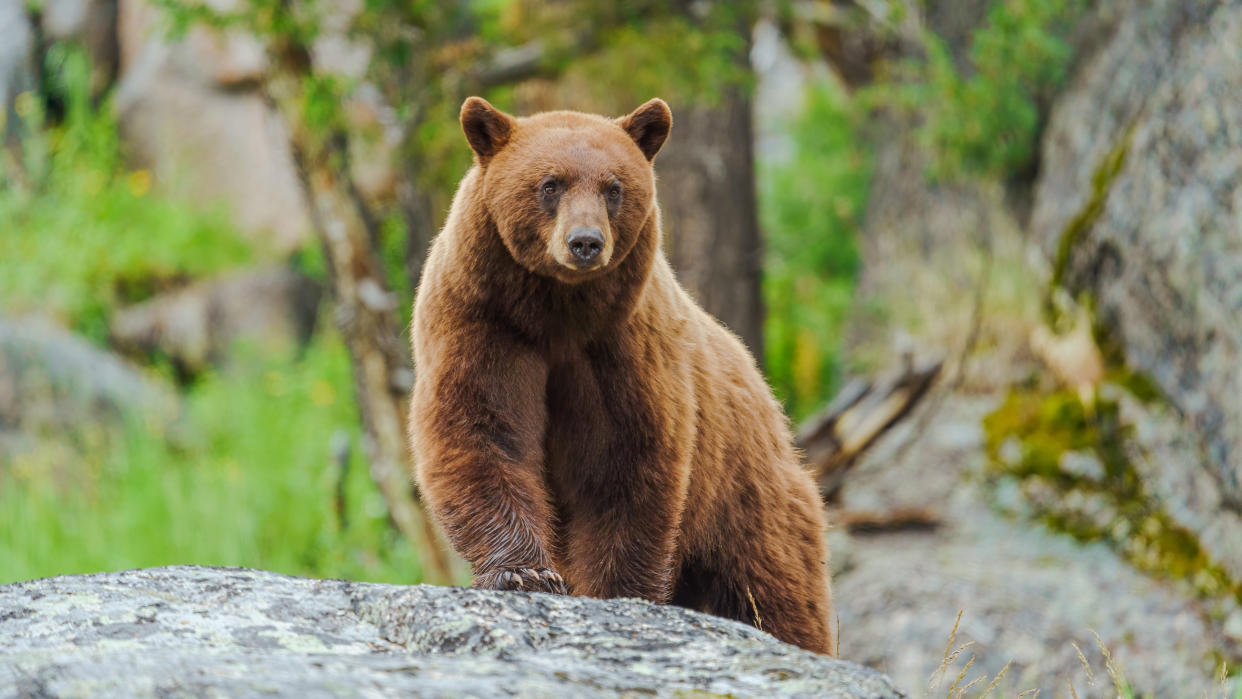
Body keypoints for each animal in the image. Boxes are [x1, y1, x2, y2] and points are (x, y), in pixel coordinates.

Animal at [409, 95, 834, 655]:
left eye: (613, 188)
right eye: (550, 184)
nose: (585, 243)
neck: (556, 313)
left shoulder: (623, 349)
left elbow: (624, 463)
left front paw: (615, 592)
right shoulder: (484, 324)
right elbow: (481, 431)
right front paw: (525, 573)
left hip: (748, 501)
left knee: (774, 594)